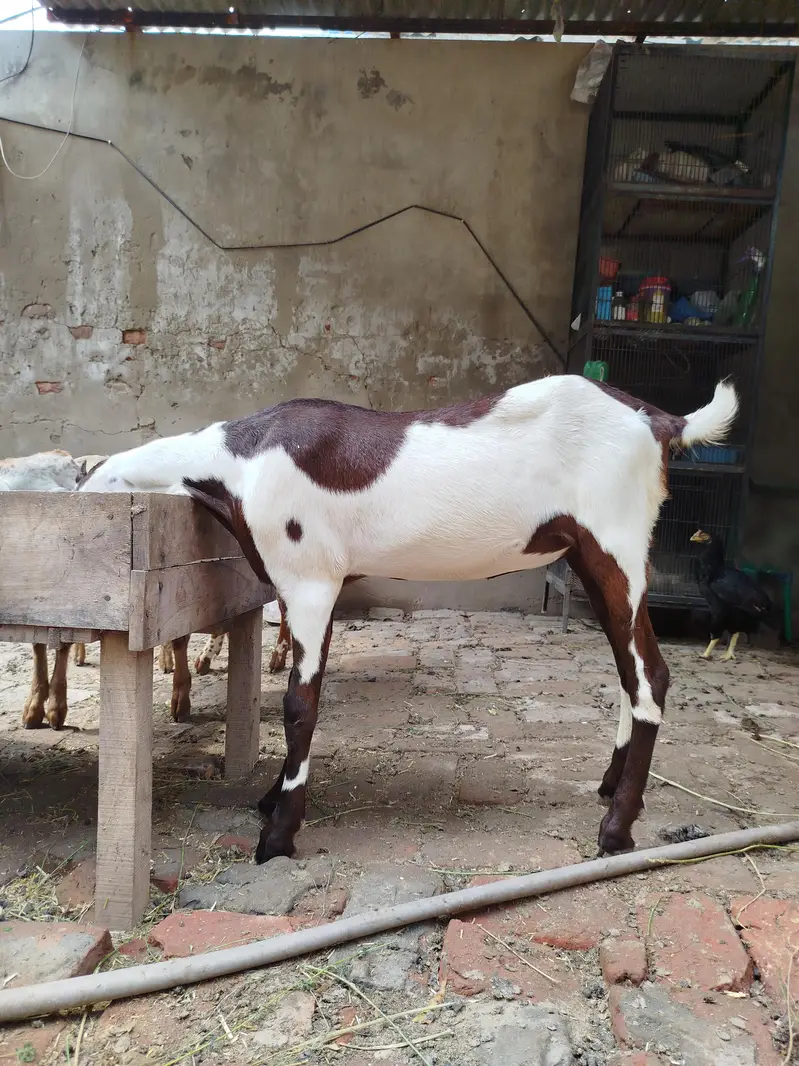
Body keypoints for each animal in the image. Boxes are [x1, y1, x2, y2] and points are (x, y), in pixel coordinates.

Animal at [79, 376, 739, 862]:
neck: (241, 462)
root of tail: (659, 421)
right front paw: (271, 800)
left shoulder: (311, 582)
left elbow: (299, 705)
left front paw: (278, 833)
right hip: (592, 557)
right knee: (630, 673)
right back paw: (609, 789)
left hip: (616, 545)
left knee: (650, 676)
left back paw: (616, 830)